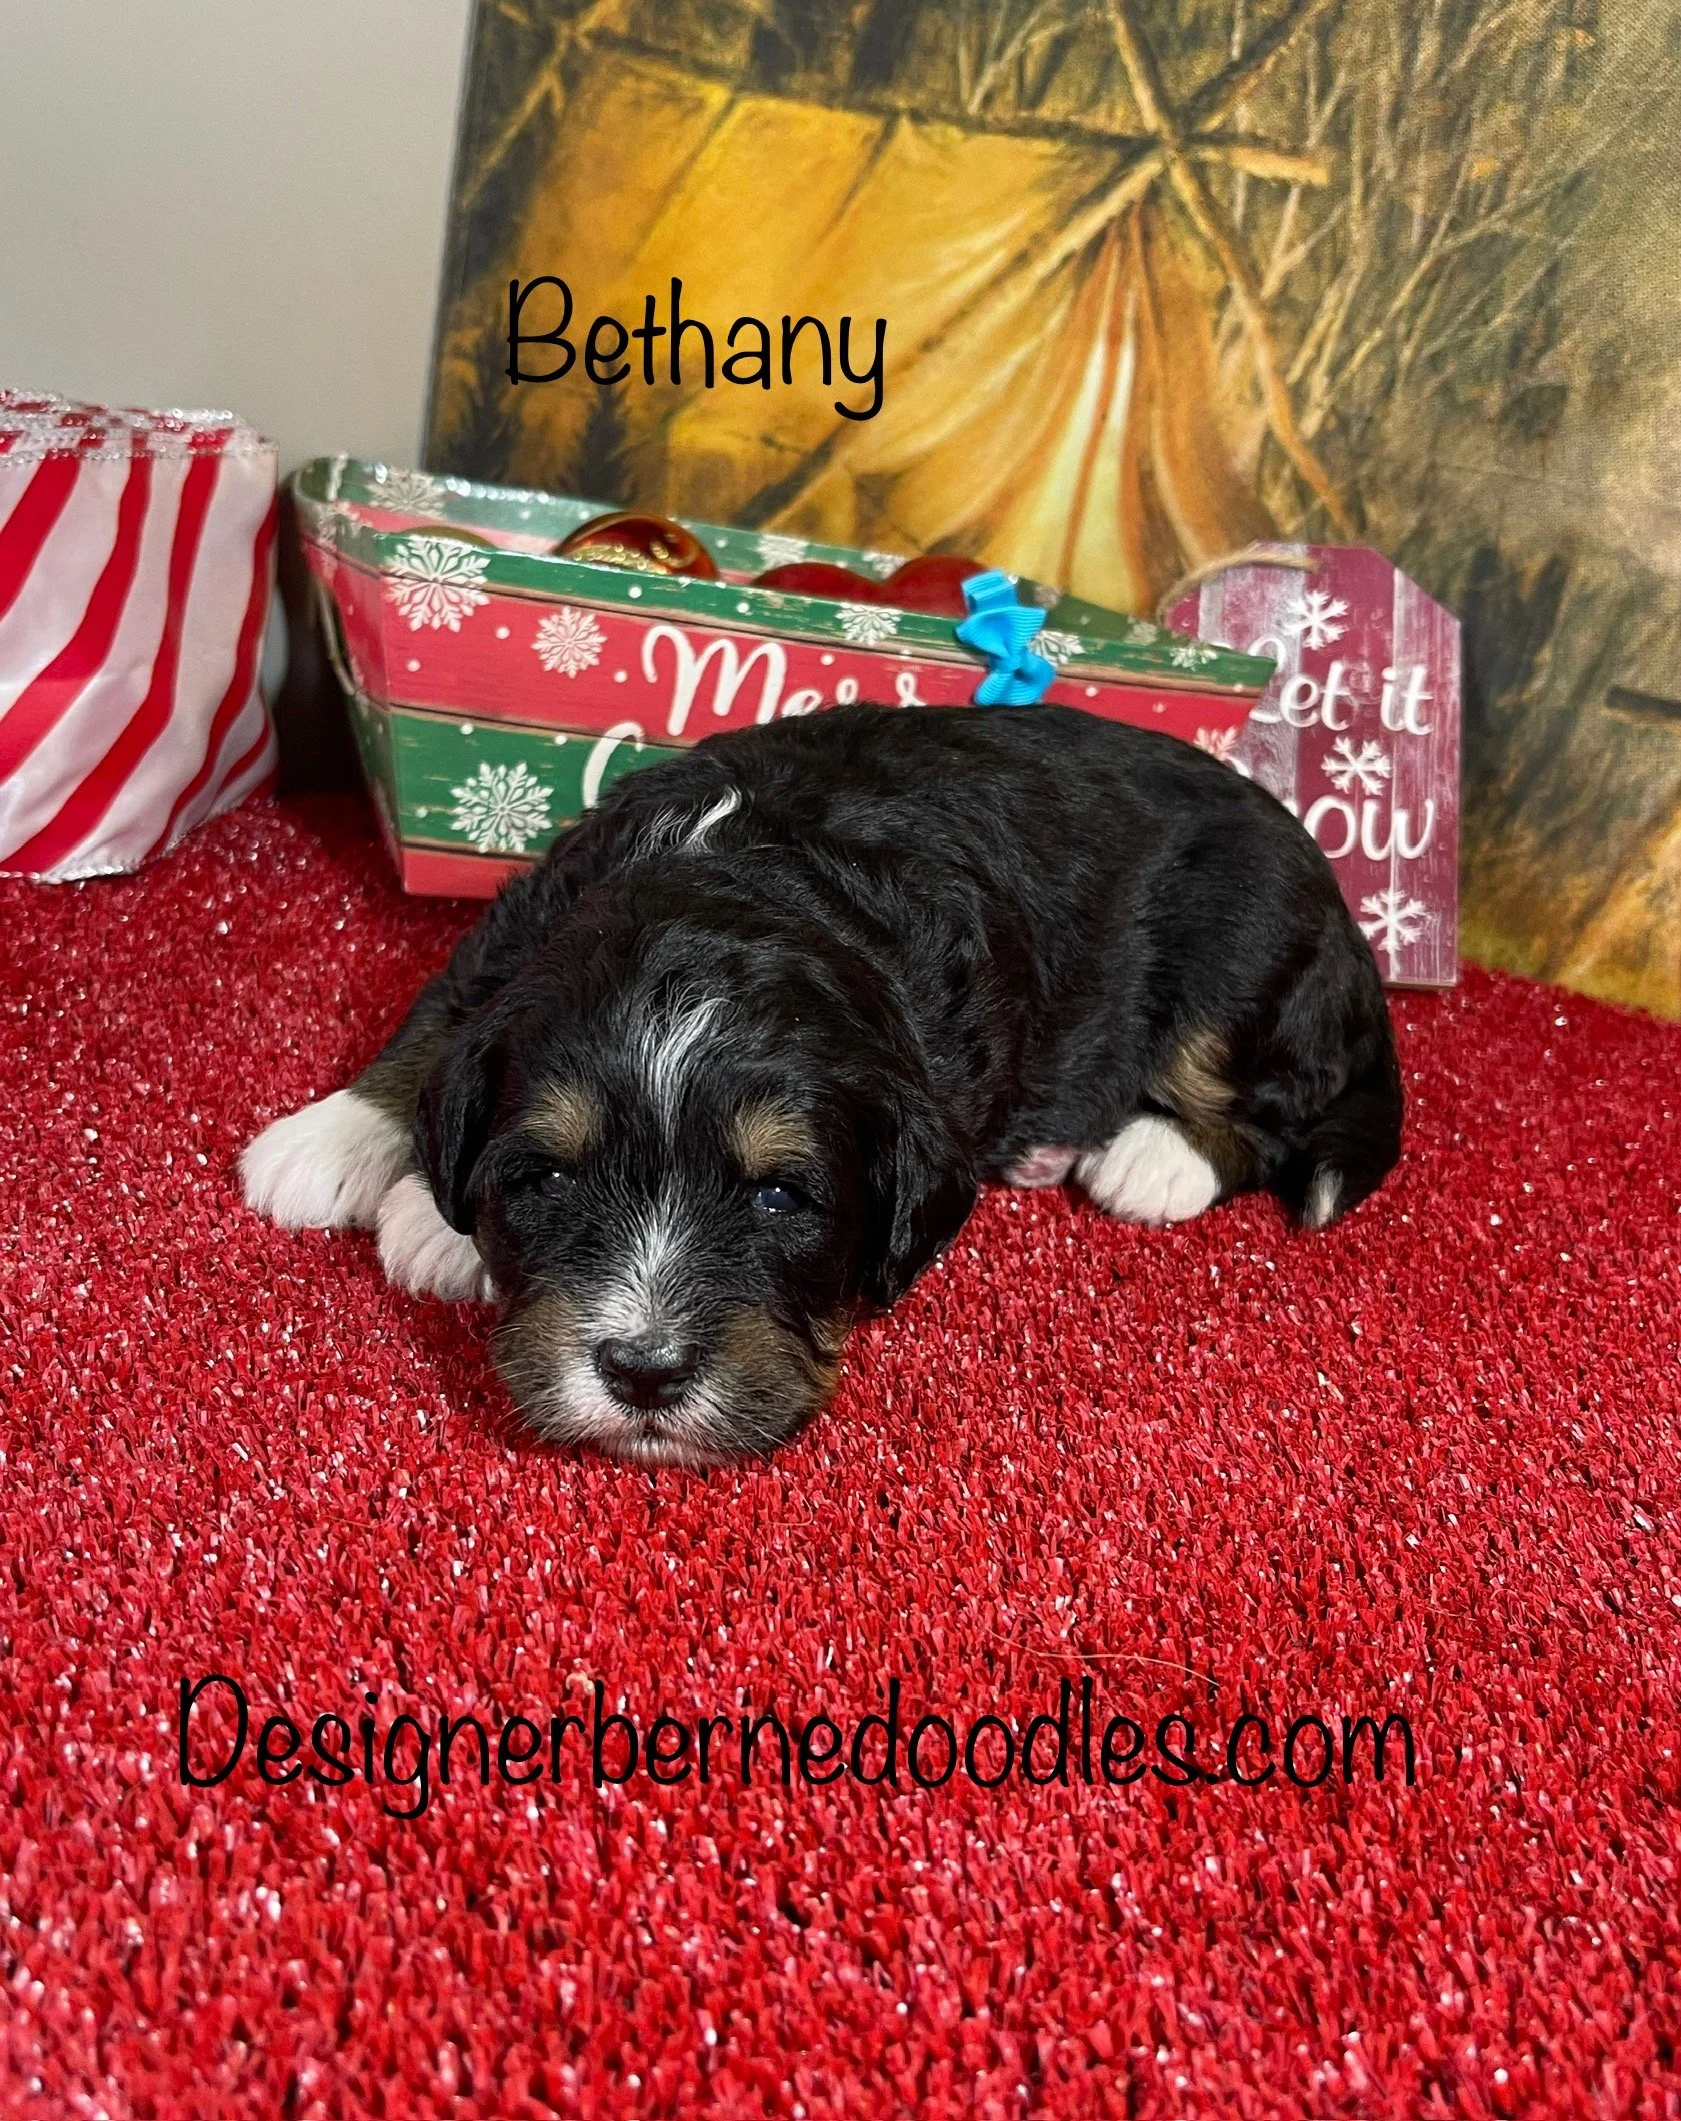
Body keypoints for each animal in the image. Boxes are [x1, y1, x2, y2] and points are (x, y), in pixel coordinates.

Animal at [242, 703, 1402, 1465]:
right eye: (549, 1180)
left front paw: (430, 1222)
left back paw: (1147, 1159)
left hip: (1246, 944)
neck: (740, 876)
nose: (646, 1373)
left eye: (779, 1197)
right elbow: (442, 1014)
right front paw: (330, 1142)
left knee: (1268, 1100)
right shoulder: (521, 923)